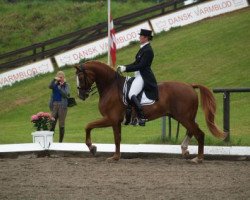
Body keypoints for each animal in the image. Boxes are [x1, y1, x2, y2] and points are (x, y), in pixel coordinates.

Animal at [75, 60, 226, 162]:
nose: (81, 95)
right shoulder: (115, 121)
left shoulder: (111, 119)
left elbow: (90, 127)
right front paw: (111, 154)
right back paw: (184, 150)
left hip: (184, 117)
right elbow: (116, 137)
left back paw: (198, 158)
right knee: (192, 131)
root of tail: (190, 85)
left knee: (199, 134)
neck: (110, 86)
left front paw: (96, 149)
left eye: (81, 78)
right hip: (183, 117)